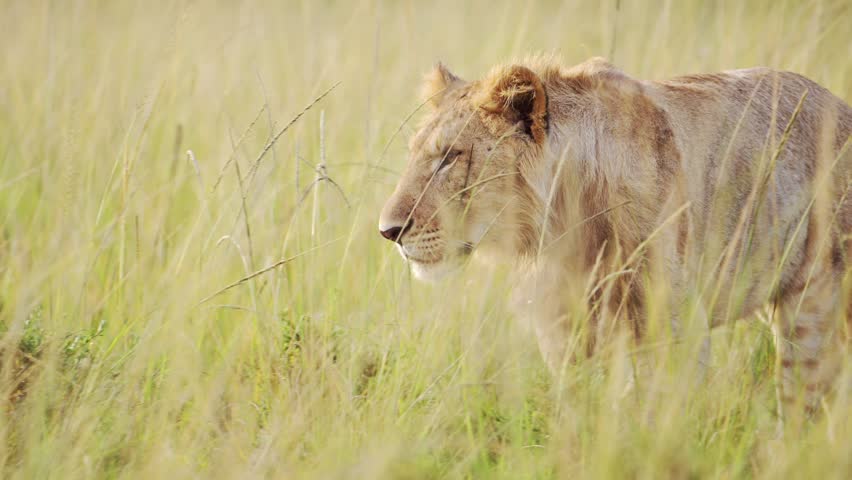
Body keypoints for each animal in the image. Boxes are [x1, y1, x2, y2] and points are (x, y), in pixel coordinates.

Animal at [378, 56, 852, 422]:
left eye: (449, 158)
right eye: (416, 154)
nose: (388, 231)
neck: (563, 223)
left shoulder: (673, 326)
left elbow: (659, 417)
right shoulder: (564, 327)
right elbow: (581, 408)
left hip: (812, 295)